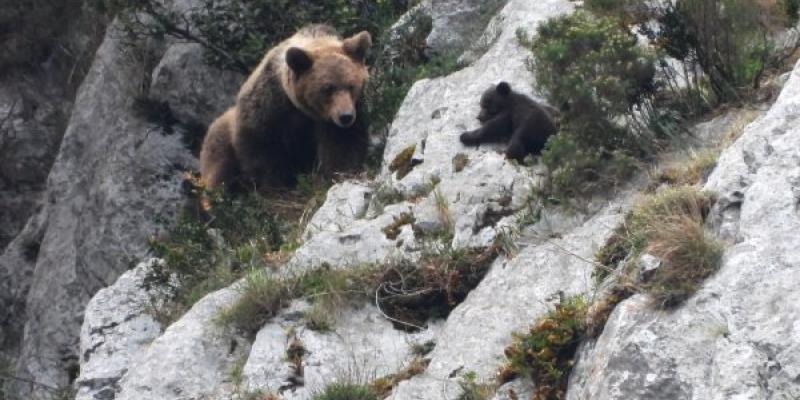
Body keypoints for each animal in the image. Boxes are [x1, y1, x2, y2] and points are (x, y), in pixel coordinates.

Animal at [200, 24, 372, 192]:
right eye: (327, 88)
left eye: (351, 85)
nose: (345, 116)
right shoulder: (269, 105)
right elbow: (262, 147)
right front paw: (276, 184)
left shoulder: (340, 117)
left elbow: (342, 144)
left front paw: (338, 173)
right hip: (220, 137)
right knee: (221, 169)